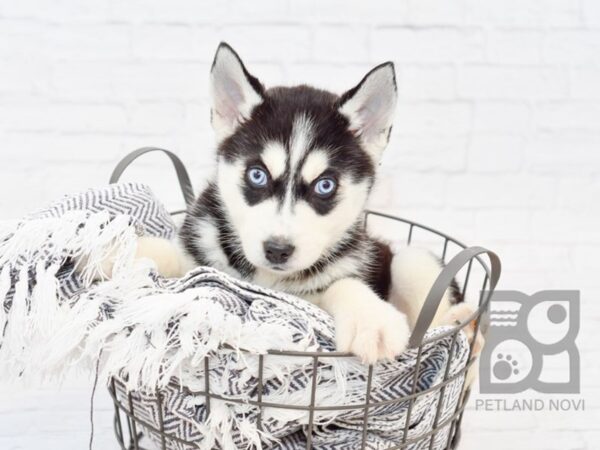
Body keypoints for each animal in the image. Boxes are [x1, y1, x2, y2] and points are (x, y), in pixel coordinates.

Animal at [120, 44, 474, 364]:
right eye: (258, 175)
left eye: (325, 185)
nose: (277, 250)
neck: (268, 279)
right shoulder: (202, 264)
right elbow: (171, 257)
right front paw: (120, 249)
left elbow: (341, 285)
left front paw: (371, 319)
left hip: (411, 262)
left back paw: (464, 326)